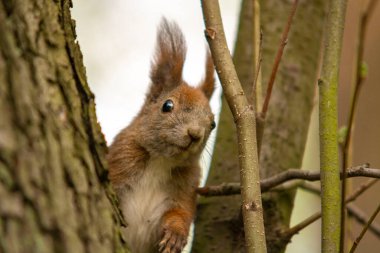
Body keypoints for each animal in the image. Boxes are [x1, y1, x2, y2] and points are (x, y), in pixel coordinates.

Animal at [107, 18, 215, 253]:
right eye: (167, 106)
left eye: (213, 123)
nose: (194, 134)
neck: (161, 161)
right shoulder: (122, 158)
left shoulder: (188, 183)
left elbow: (180, 213)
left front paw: (175, 236)